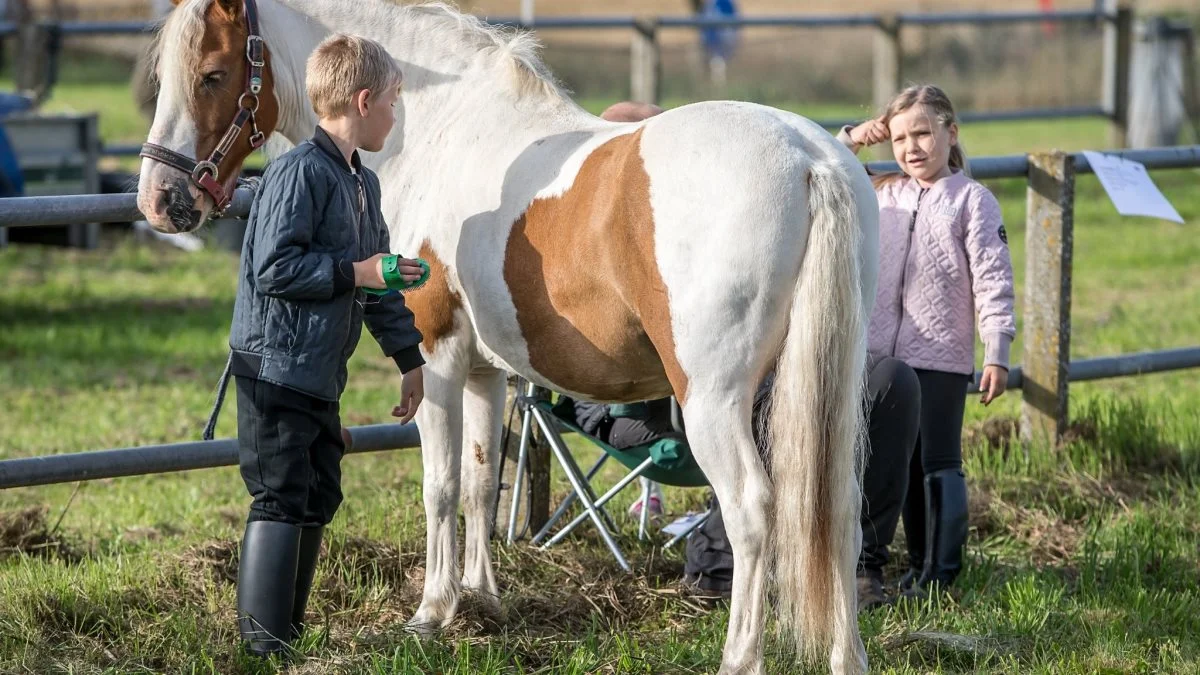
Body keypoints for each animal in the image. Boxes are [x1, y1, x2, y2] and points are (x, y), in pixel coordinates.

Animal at [136, 2, 883, 667]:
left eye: (212, 73)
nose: (160, 201)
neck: (440, 131)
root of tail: (809, 159)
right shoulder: (484, 369)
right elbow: (480, 481)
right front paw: (482, 599)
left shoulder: (434, 356)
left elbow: (439, 484)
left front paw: (432, 611)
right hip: (827, 391)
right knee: (838, 508)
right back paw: (846, 656)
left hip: (715, 398)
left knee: (754, 511)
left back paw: (739, 657)